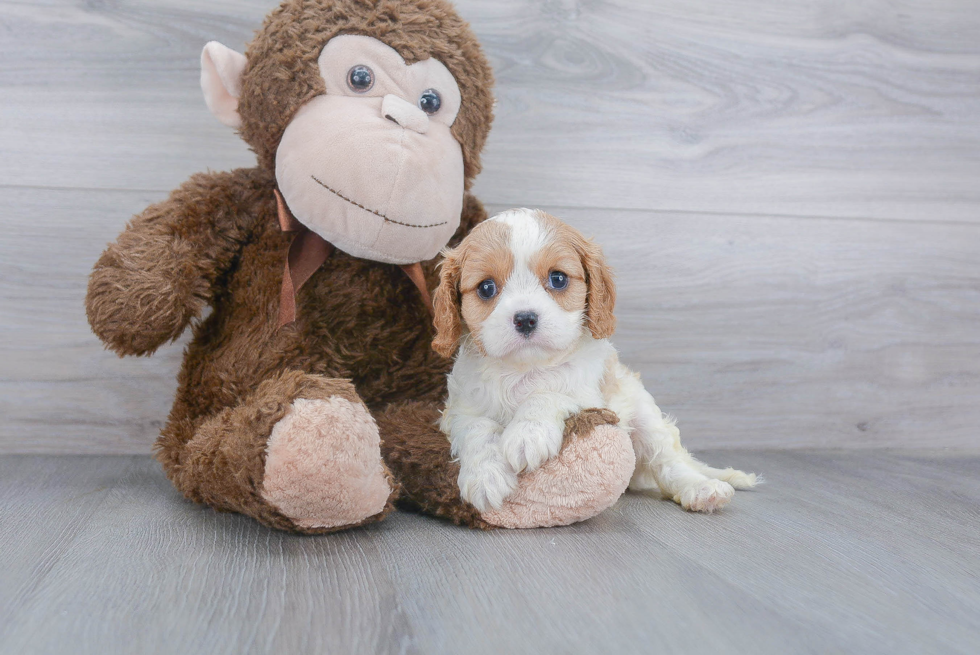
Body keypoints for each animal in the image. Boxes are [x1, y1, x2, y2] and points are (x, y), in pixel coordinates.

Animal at [432, 209, 760, 512]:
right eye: (486, 287)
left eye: (558, 279)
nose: (525, 319)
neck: (527, 369)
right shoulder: (460, 409)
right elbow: (477, 429)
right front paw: (485, 476)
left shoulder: (590, 397)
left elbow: (549, 394)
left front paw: (528, 434)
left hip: (646, 416)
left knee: (669, 461)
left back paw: (701, 488)